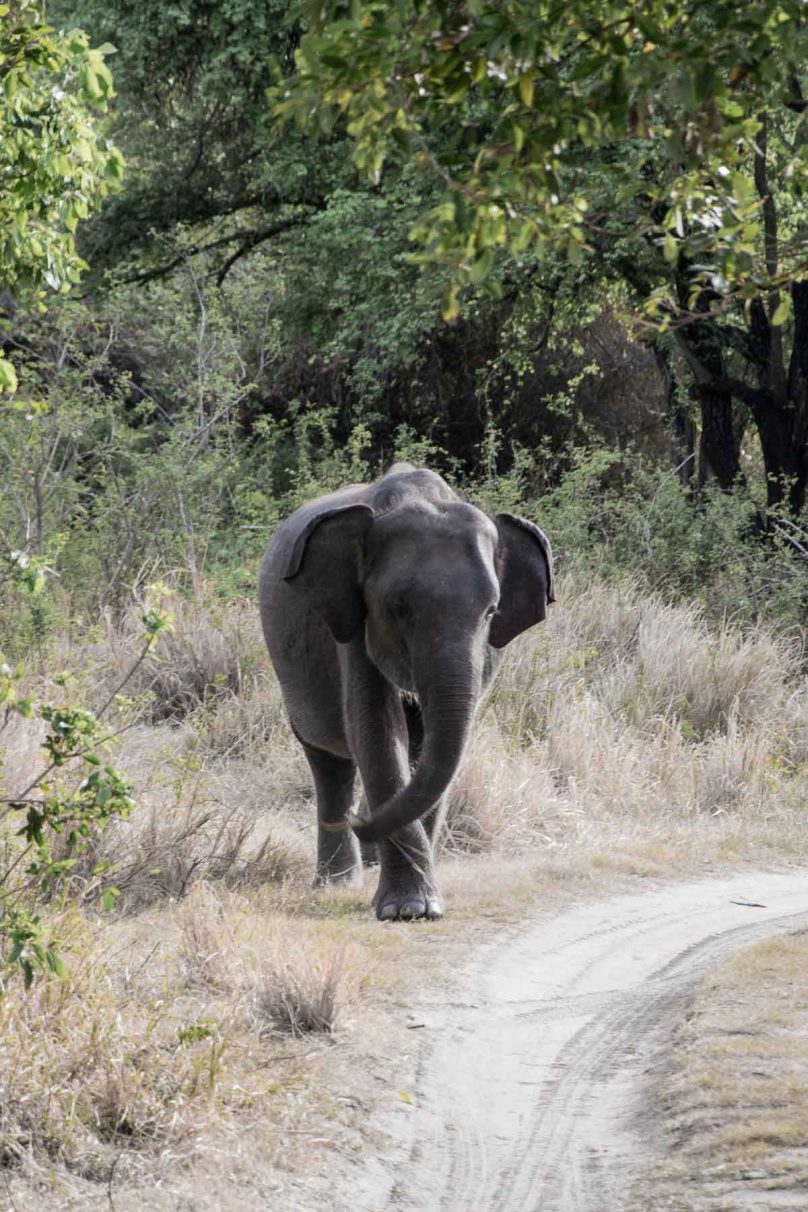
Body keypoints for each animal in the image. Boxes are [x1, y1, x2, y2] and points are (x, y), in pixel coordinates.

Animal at [260, 462, 557, 916]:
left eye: (491, 611)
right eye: (398, 607)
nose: (361, 824)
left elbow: (430, 748)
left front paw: (420, 904)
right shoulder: (354, 623)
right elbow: (377, 732)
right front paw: (409, 911)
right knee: (328, 759)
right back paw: (338, 880)